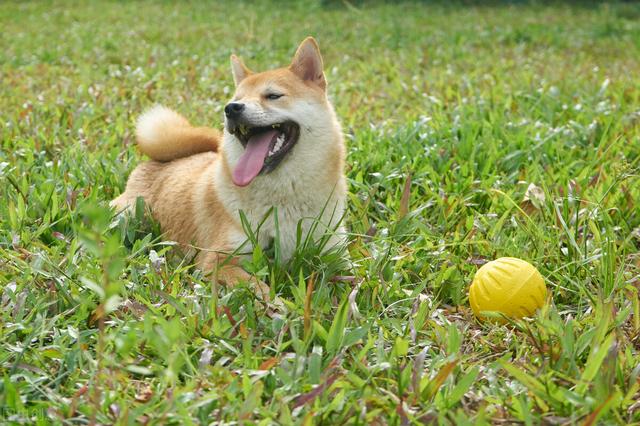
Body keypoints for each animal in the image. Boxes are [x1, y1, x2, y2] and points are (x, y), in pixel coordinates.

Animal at [112, 37, 348, 300]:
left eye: (273, 95)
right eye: (237, 97)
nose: (232, 107)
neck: (284, 200)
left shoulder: (336, 257)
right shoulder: (217, 261)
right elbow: (259, 287)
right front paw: (279, 306)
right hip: (127, 216)